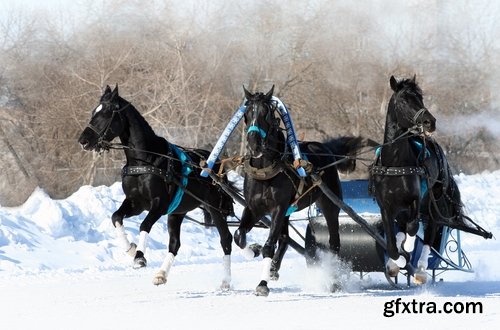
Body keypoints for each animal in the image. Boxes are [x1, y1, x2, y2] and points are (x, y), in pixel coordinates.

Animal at [78, 85, 234, 288]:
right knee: (175, 244)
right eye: (93, 112)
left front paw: (139, 257)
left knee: (226, 239)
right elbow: (116, 217)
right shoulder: (136, 203)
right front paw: (131, 249)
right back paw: (161, 274)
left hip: (214, 208)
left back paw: (226, 280)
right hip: (178, 212)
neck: (146, 159)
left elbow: (144, 225)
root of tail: (216, 167)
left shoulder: (159, 204)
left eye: (106, 113)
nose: (83, 141)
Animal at [235, 85, 372, 296]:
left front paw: (262, 283)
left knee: (334, 241)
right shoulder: (253, 208)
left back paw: (334, 279)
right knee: (284, 238)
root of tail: (325, 147)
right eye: (247, 113)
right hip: (288, 211)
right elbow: (239, 236)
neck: (266, 171)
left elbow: (269, 246)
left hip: (329, 204)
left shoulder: (278, 208)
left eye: (267, 113)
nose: (254, 143)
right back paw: (273, 268)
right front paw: (253, 250)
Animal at [370, 75, 466, 284]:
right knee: (404, 228)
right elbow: (391, 242)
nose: (430, 122)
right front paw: (394, 263)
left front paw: (408, 248)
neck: (395, 164)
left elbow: (413, 228)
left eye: (420, 98)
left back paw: (421, 269)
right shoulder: (386, 207)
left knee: (430, 234)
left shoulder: (414, 200)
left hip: (433, 204)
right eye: (404, 100)